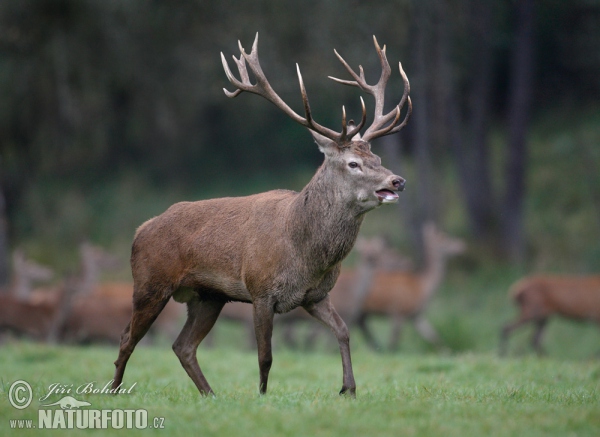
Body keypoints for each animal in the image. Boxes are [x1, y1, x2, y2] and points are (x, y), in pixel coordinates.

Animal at [111, 32, 412, 396]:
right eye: (353, 164)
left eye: (378, 159)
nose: (397, 180)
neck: (304, 253)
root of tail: (140, 230)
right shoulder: (261, 291)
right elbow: (265, 355)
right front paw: (263, 396)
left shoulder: (315, 295)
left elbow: (343, 331)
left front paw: (348, 389)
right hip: (149, 283)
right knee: (127, 338)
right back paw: (114, 390)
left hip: (208, 297)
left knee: (183, 346)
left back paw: (211, 395)